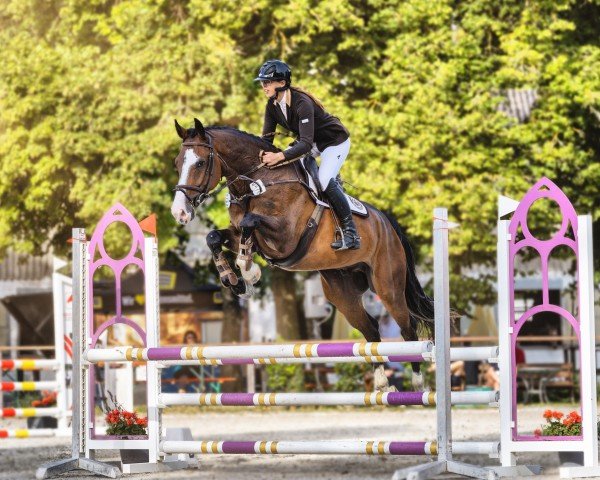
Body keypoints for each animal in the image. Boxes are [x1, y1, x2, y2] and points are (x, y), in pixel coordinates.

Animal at [171, 119, 434, 390]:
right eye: (177, 163)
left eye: (200, 163)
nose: (179, 213)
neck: (258, 183)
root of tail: (387, 223)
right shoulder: (242, 236)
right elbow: (214, 237)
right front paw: (234, 280)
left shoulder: (285, 237)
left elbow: (249, 222)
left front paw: (249, 272)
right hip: (343, 294)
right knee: (370, 328)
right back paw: (382, 383)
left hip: (388, 287)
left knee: (408, 327)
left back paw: (418, 383)